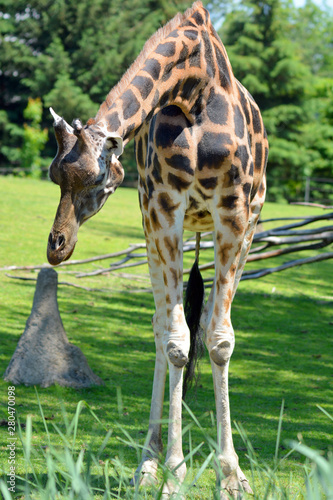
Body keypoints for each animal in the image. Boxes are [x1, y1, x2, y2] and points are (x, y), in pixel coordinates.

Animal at [46, 1, 268, 498]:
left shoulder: (235, 212)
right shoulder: (164, 207)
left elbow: (219, 340)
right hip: (157, 224)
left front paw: (231, 475)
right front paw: (172, 473)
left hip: (240, 224)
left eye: (95, 177)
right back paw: (146, 464)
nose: (57, 247)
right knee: (160, 326)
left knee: (202, 323)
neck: (196, 88)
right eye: (54, 176)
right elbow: (175, 341)